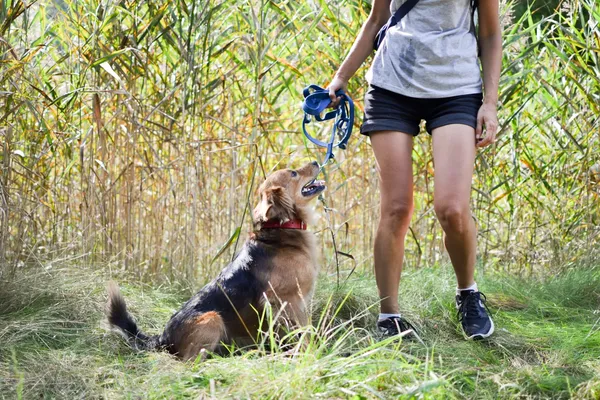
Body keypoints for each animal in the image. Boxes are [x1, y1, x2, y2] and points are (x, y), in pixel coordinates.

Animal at [105, 161, 326, 360]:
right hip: (212, 319)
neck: (280, 229)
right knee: (189, 362)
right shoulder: (286, 301)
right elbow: (302, 333)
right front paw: (309, 355)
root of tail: (163, 337)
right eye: (294, 173)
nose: (316, 161)